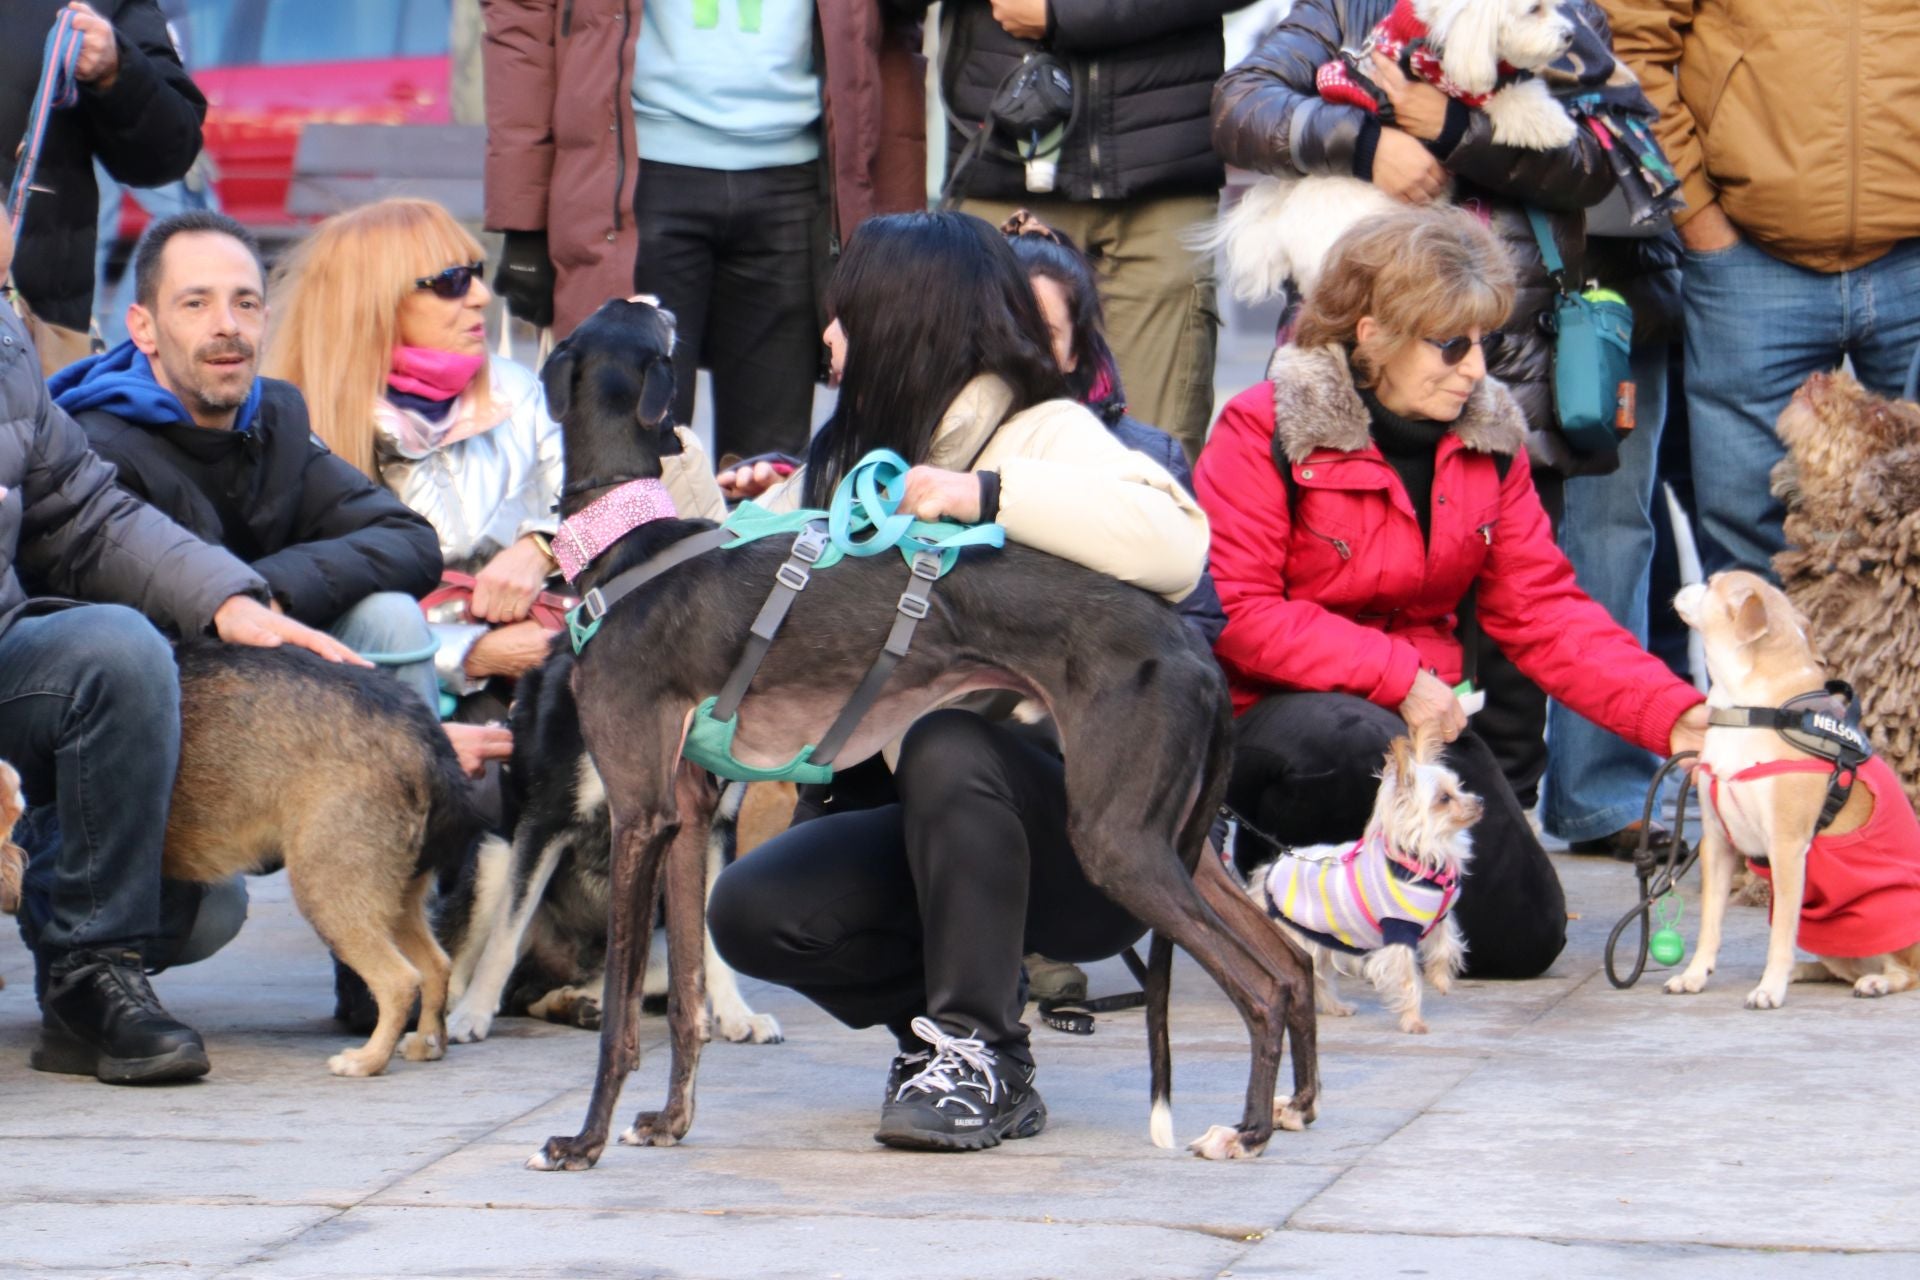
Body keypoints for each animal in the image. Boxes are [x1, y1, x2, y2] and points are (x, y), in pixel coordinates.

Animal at [518, 297, 1313, 1174]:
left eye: (633, 315)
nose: (660, 301)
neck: (629, 544)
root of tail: (1193, 650)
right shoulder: (685, 816)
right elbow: (688, 997)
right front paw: (668, 1122)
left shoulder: (638, 814)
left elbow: (624, 1016)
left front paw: (583, 1141)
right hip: (1172, 836)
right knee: (1293, 962)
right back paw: (1297, 1106)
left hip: (1118, 844)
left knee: (1260, 985)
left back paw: (1247, 1130)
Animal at [1244, 725, 1482, 1036]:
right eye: (1444, 799)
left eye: (1459, 787)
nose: (1480, 801)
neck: (1428, 856)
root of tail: (1267, 875)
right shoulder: (1399, 931)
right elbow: (1407, 979)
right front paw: (1413, 1021)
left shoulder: (1440, 918)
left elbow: (1446, 946)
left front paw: (1441, 980)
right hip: (1296, 937)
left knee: (1318, 975)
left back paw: (1335, 1007)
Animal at [1666, 571, 1920, 1013]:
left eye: (1713, 583)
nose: (1687, 582)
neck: (1748, 712)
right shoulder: (1717, 842)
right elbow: (1710, 924)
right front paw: (1695, 974)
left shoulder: (1785, 847)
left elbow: (1781, 933)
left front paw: (1770, 988)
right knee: (1841, 967)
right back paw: (1806, 970)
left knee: (1907, 973)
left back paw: (1876, 982)